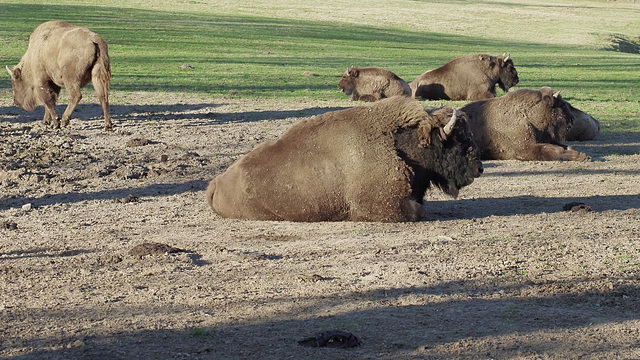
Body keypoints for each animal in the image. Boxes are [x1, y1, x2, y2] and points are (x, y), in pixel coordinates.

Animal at [460, 86, 592, 161]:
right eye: (563, 105)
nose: (572, 119)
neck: (529, 116)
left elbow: (562, 146)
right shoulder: (525, 149)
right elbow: (552, 150)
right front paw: (581, 156)